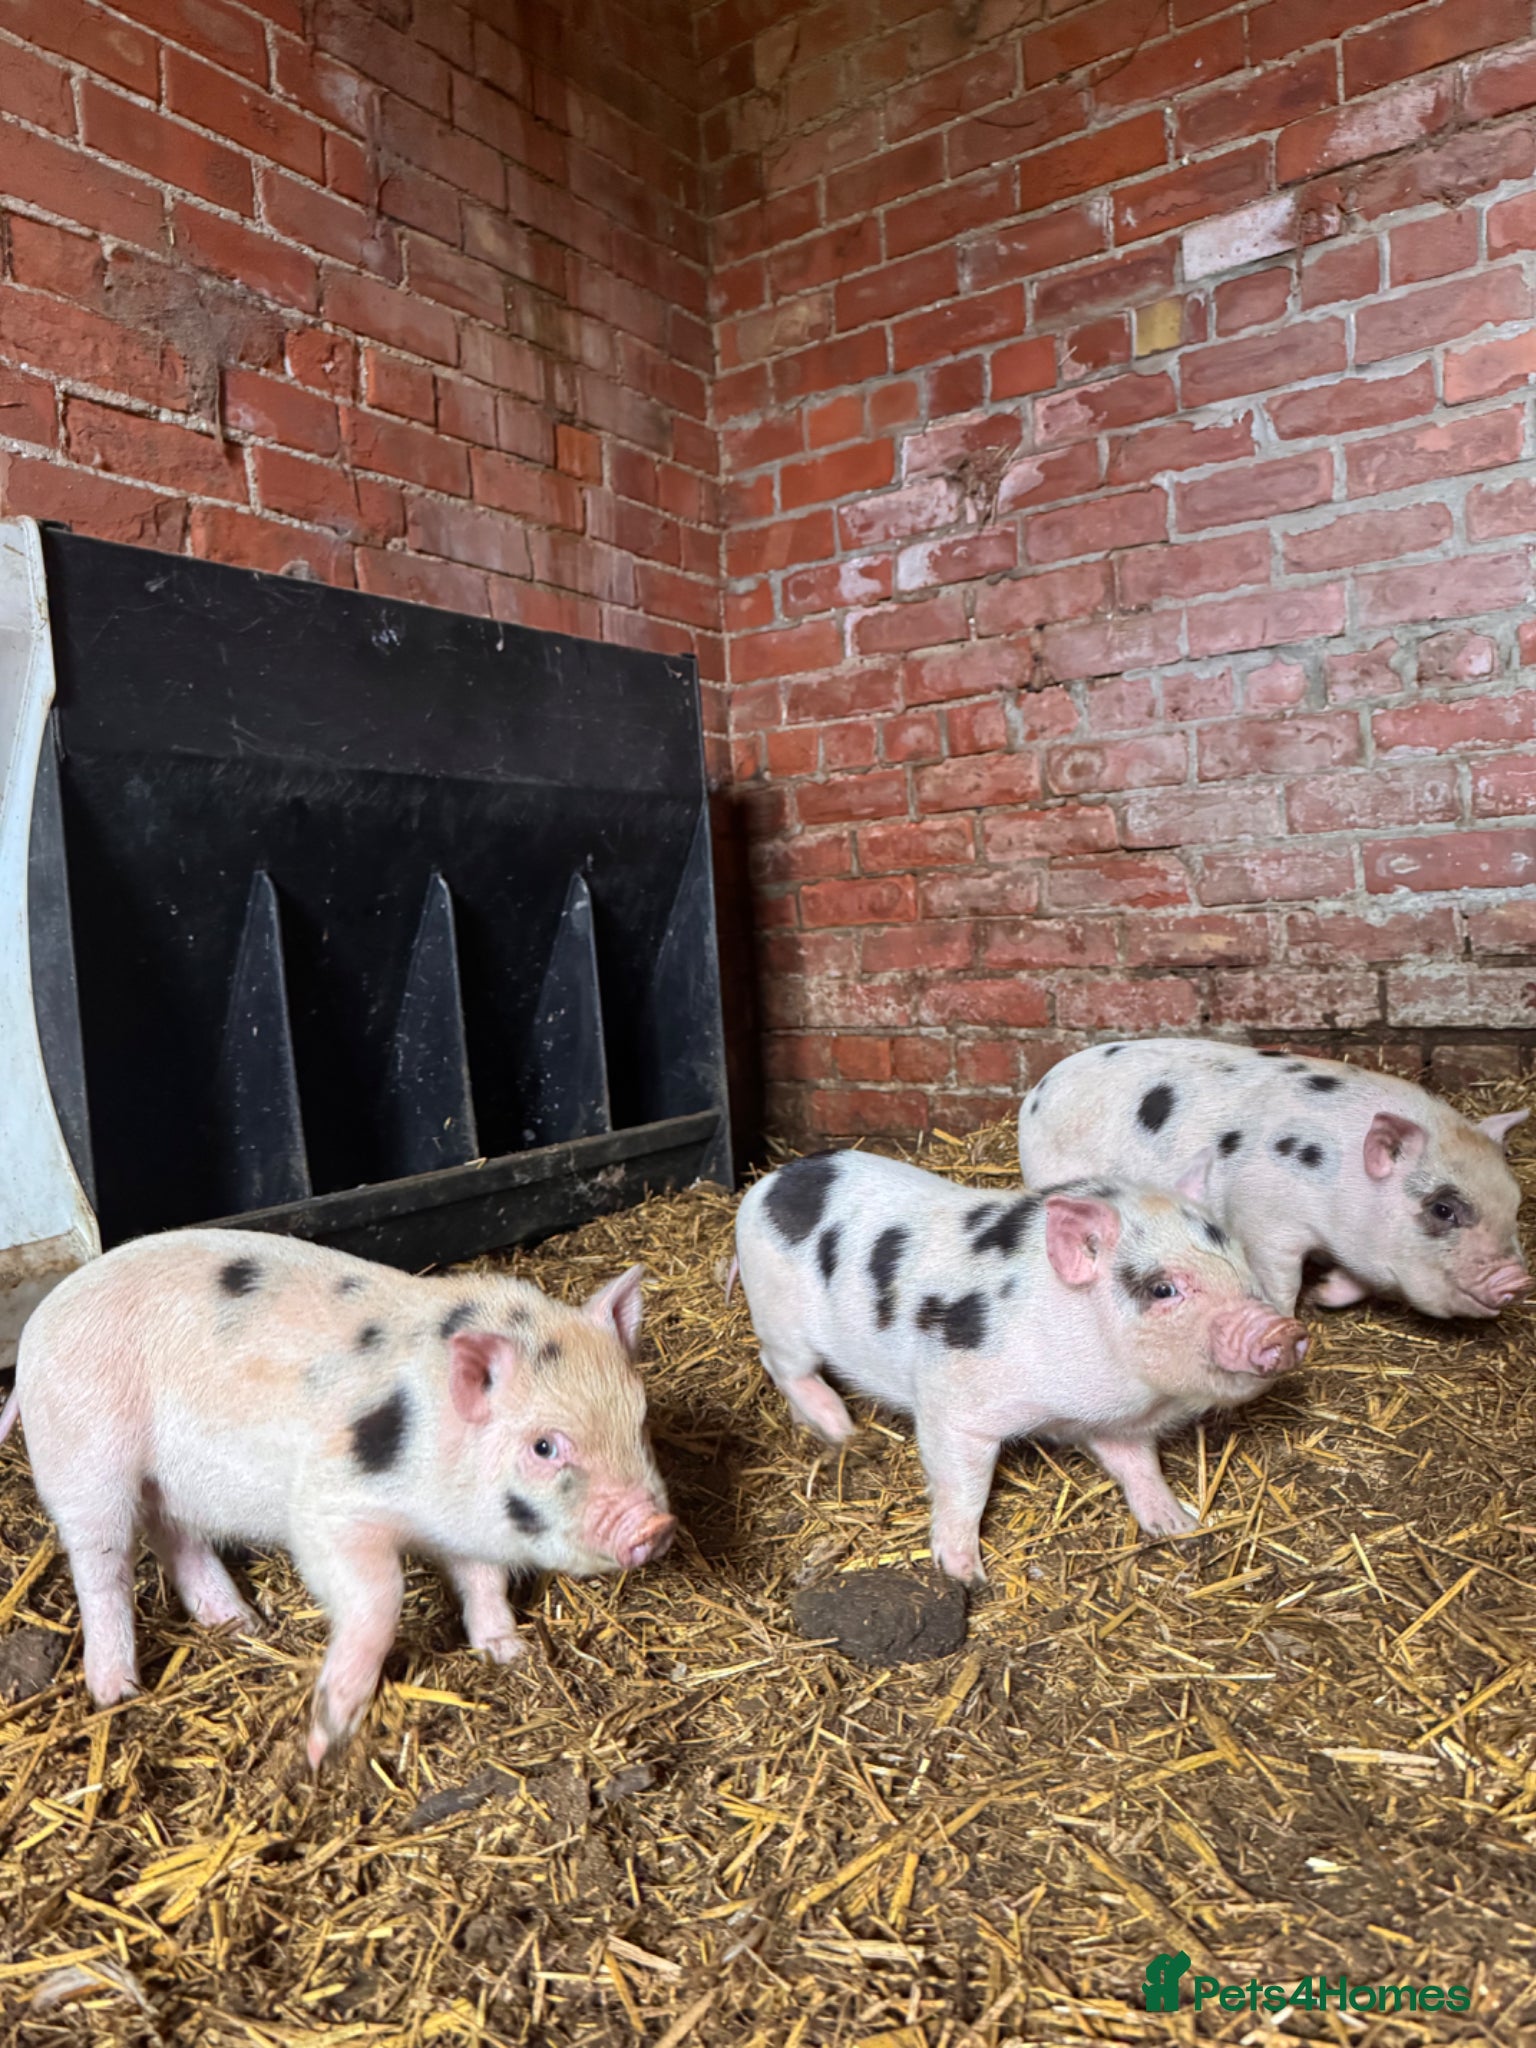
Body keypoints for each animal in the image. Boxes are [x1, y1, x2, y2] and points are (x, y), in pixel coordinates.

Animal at [0, 1228, 675, 1766]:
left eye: (640, 1422)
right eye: (544, 1446)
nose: (654, 1527)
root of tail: (36, 1330)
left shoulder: (465, 1526)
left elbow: (482, 1580)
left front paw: (509, 1653)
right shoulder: (327, 1506)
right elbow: (379, 1597)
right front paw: (325, 1742)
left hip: (167, 1484)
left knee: (176, 1539)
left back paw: (244, 1625)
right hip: (87, 1457)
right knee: (102, 1566)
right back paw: (117, 1692)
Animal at [733, 1150, 1307, 1582]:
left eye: (1243, 1264)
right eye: (1163, 1289)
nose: (1285, 1330)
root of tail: (765, 1186)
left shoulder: (1110, 1420)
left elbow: (1138, 1463)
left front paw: (1179, 1524)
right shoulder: (953, 1404)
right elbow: (964, 1488)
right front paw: (965, 1576)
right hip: (778, 1316)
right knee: (780, 1364)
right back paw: (843, 1430)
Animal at [1018, 1039, 1532, 1322]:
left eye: (1515, 1203)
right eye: (1444, 1208)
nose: (1519, 1280)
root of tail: (1036, 1094)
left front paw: (1324, 1294)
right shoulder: (1266, 1222)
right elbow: (1281, 1280)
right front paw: (1289, 1315)